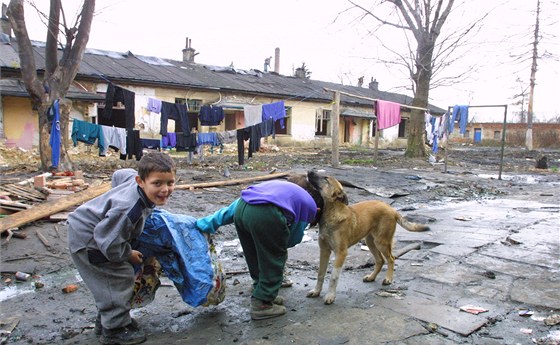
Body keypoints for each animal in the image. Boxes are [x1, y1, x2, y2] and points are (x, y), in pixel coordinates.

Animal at [306, 170, 428, 304]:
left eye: (326, 178)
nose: (310, 171)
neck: (331, 214)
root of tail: (391, 209)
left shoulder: (341, 253)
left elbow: (333, 276)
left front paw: (330, 296)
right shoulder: (324, 250)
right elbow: (320, 273)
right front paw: (316, 291)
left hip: (381, 242)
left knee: (391, 259)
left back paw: (388, 279)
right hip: (370, 242)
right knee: (380, 260)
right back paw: (371, 277)